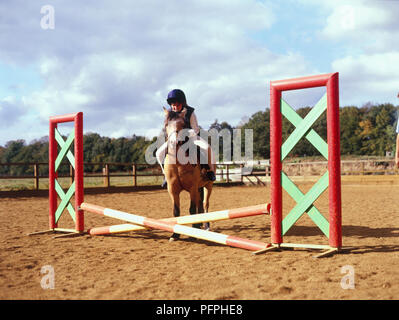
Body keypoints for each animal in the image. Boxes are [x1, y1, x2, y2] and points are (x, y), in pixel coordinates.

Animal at [162, 107, 214, 240]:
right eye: (166, 125)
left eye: (183, 125)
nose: (174, 142)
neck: (178, 163)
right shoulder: (173, 190)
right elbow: (176, 211)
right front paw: (175, 234)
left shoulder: (192, 188)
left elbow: (192, 209)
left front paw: (193, 232)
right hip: (199, 187)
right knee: (200, 205)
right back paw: (200, 224)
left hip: (208, 185)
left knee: (205, 204)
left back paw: (205, 226)